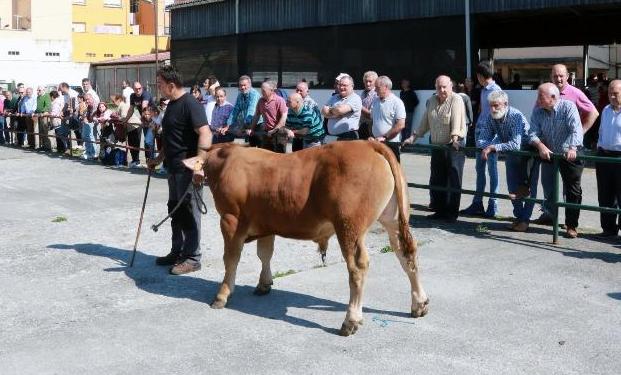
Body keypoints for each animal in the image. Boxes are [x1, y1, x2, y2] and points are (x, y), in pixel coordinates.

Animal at [183, 140, 426, 336]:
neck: (226, 160)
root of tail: (369, 143)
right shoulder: (267, 223)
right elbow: (265, 254)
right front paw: (264, 284)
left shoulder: (230, 220)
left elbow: (231, 259)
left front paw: (222, 294)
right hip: (393, 219)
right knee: (407, 254)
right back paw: (419, 303)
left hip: (349, 226)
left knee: (358, 267)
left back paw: (351, 320)